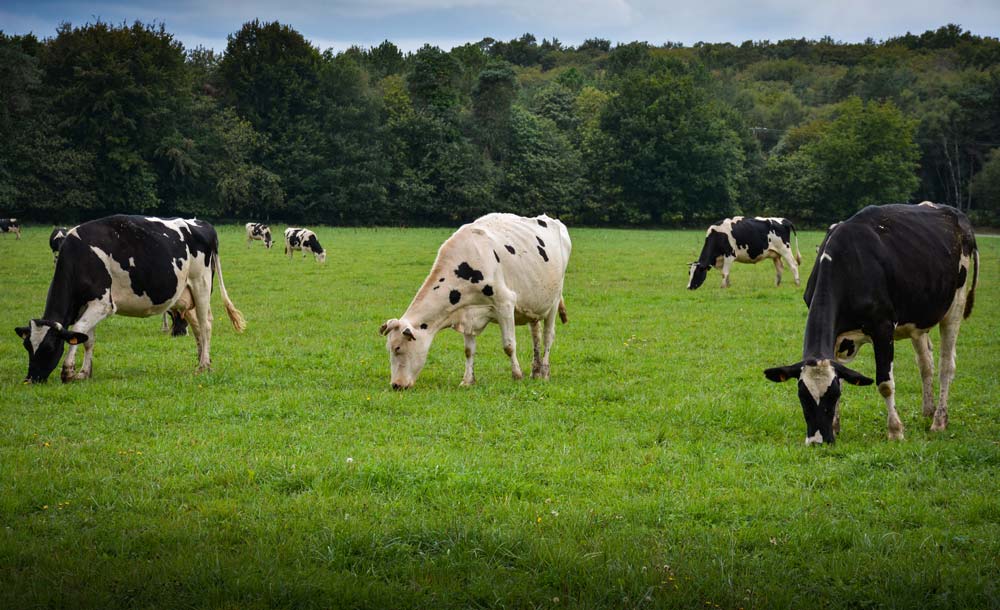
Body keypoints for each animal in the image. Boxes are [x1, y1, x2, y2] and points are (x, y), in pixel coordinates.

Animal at [15, 215, 244, 380]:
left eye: (49, 347)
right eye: (27, 346)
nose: (31, 379)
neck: (80, 257)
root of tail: (202, 224)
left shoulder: (102, 304)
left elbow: (79, 330)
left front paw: (68, 371)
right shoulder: (85, 306)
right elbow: (88, 338)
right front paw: (84, 373)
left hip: (201, 285)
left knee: (205, 326)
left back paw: (203, 364)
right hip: (185, 295)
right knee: (197, 327)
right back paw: (202, 363)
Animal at [380, 211, 572, 388]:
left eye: (398, 348)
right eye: (389, 349)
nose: (396, 385)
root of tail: (552, 220)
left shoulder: (505, 303)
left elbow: (509, 345)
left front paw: (517, 375)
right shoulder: (467, 313)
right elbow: (468, 350)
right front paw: (467, 380)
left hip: (554, 300)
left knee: (548, 336)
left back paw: (545, 372)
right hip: (534, 304)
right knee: (536, 335)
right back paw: (535, 371)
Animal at [764, 202, 976, 444]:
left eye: (831, 395)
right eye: (803, 396)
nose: (818, 441)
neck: (848, 264)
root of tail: (951, 212)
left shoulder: (883, 327)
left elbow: (885, 383)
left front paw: (895, 430)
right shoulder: (837, 338)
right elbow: (844, 376)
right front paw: (835, 426)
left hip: (955, 305)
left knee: (946, 366)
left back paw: (939, 421)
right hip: (919, 319)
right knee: (926, 364)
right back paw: (928, 411)